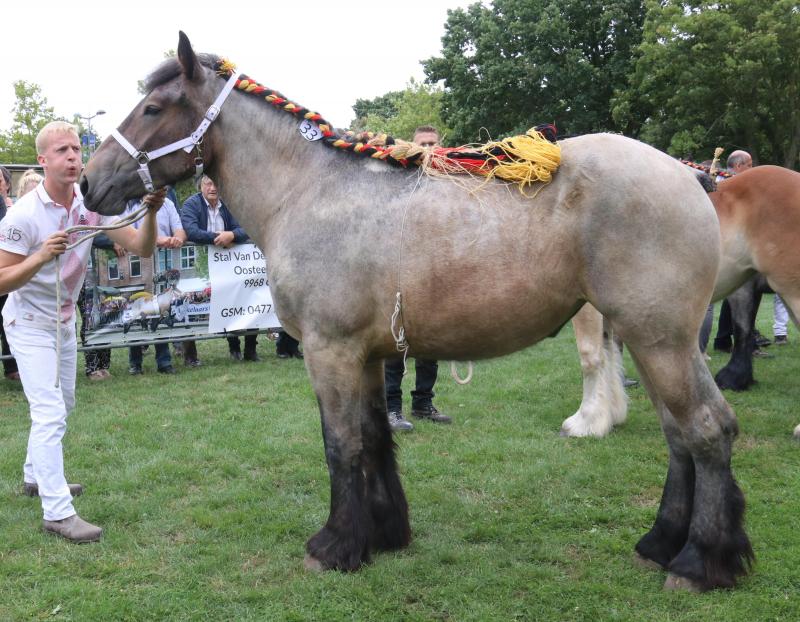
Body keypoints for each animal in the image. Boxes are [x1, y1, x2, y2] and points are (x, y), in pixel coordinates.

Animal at [78, 31, 752, 592]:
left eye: (154, 109)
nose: (88, 183)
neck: (309, 190)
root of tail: (691, 178)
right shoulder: (368, 355)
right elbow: (375, 437)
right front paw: (383, 534)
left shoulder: (330, 350)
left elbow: (341, 444)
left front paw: (334, 546)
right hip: (653, 339)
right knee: (679, 436)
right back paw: (661, 543)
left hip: (661, 338)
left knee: (706, 429)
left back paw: (698, 562)